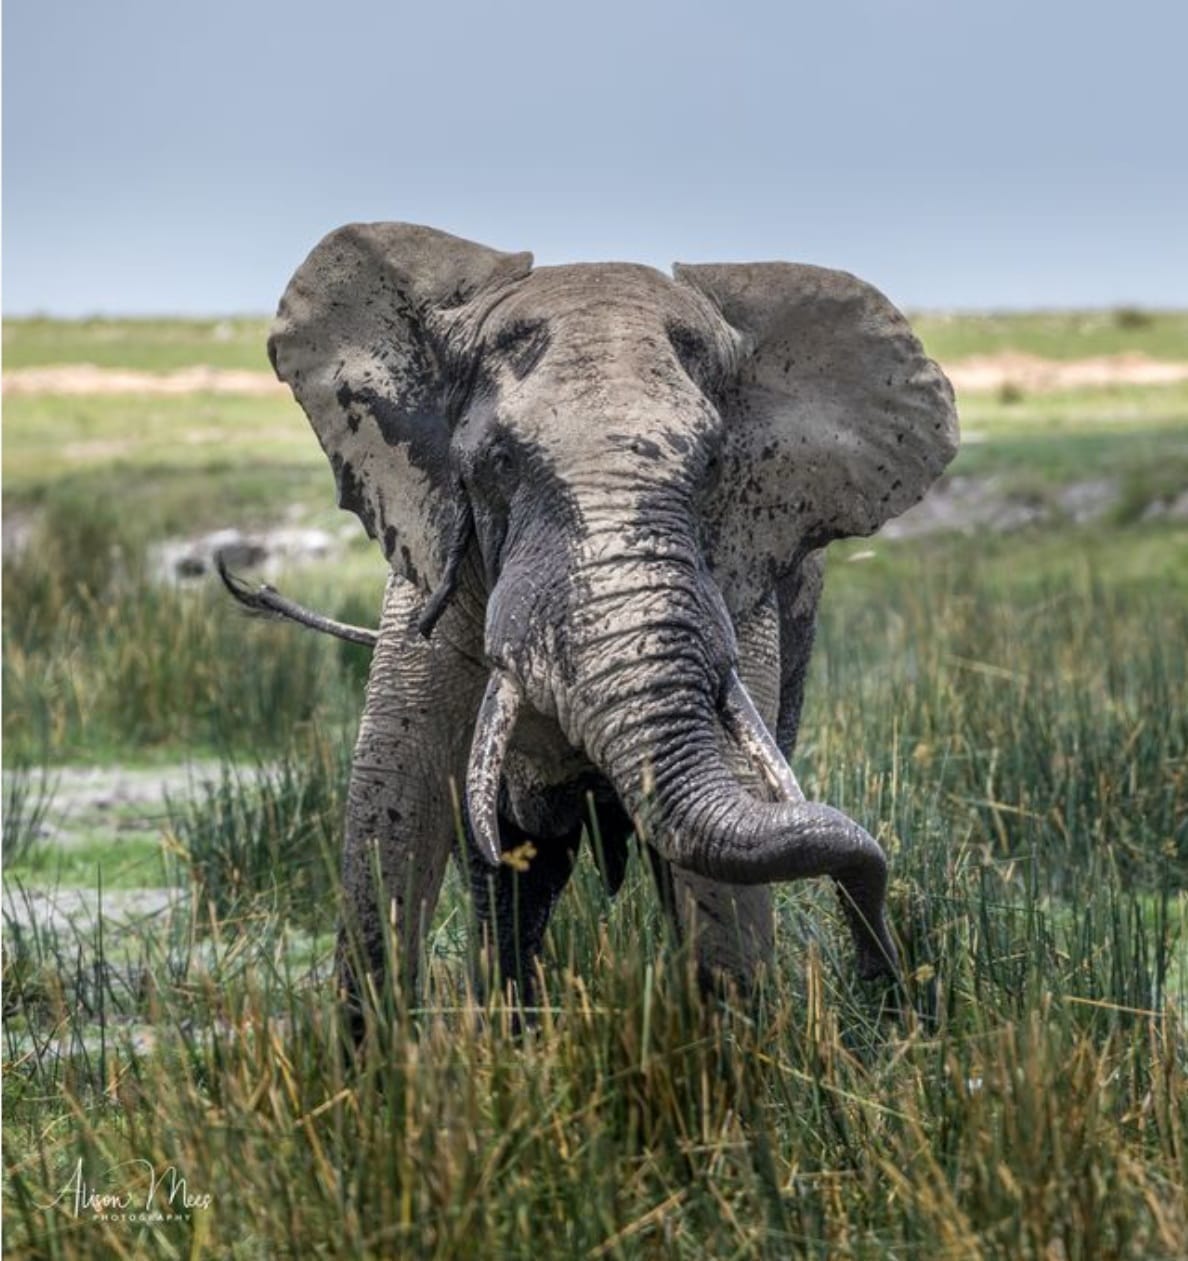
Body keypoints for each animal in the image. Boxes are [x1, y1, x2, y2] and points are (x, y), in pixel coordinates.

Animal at [250, 221, 958, 1017]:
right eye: (499, 462)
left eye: (712, 467)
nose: (888, 977)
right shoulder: (428, 562)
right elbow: (393, 810)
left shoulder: (743, 578)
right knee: (508, 878)